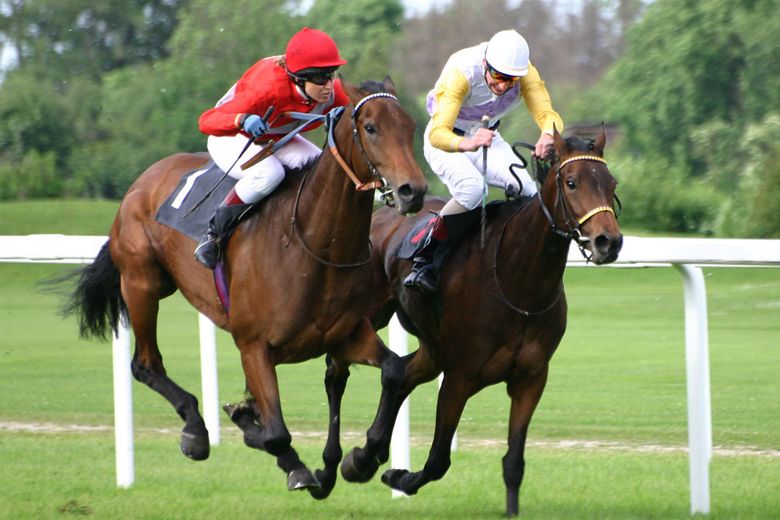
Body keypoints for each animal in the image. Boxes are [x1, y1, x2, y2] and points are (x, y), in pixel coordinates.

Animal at [62, 77, 426, 496]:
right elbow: (277, 432)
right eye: (371, 128)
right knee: (145, 364)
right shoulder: (253, 345)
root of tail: (143, 180)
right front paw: (297, 467)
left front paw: (362, 458)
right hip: (142, 282)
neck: (313, 247)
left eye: (411, 127)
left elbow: (394, 371)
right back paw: (195, 431)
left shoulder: (344, 335)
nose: (413, 191)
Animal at [340, 126, 620, 516]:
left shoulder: (531, 379)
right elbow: (438, 460)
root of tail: (381, 216)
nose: (609, 241)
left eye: (611, 183)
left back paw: (364, 456)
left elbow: (514, 463)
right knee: (343, 366)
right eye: (572, 182)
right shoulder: (459, 377)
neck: (519, 283)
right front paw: (400, 477)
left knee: (397, 374)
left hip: (432, 349)